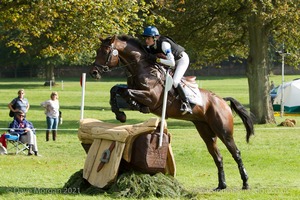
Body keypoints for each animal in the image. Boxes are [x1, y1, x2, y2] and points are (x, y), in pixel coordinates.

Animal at [90, 34, 254, 191]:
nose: (94, 72)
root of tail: (221, 100)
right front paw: (121, 113)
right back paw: (221, 185)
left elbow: (127, 92)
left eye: (105, 51)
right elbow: (116, 89)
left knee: (236, 153)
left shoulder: (152, 97)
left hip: (223, 131)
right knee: (218, 156)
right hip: (206, 131)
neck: (142, 68)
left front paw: (130, 109)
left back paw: (245, 183)